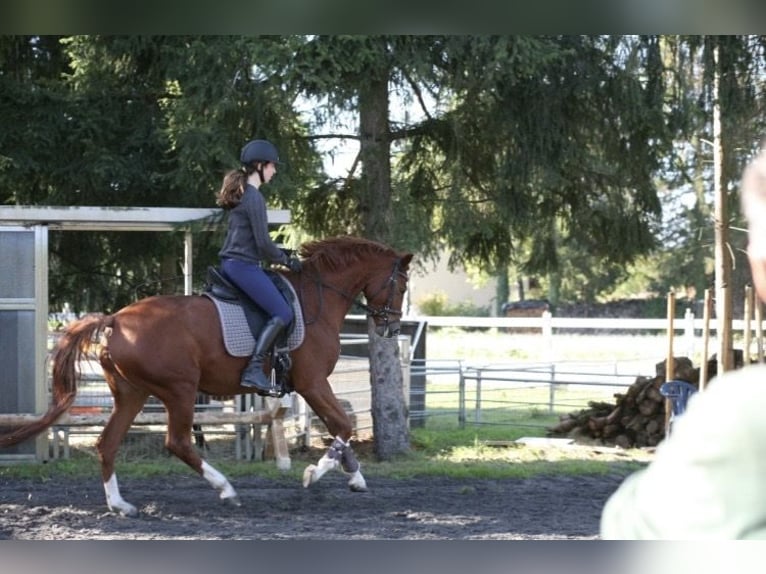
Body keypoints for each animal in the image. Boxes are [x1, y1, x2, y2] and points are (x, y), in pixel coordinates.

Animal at [0, 236, 413, 516]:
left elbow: (341, 428)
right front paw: (315, 473)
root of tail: (116, 319)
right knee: (179, 442)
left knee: (108, 443)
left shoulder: (311, 387)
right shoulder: (313, 384)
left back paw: (121, 505)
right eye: (403, 285)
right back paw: (226, 489)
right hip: (180, 390)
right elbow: (342, 425)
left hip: (132, 394)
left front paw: (355, 477)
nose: (391, 327)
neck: (317, 299)